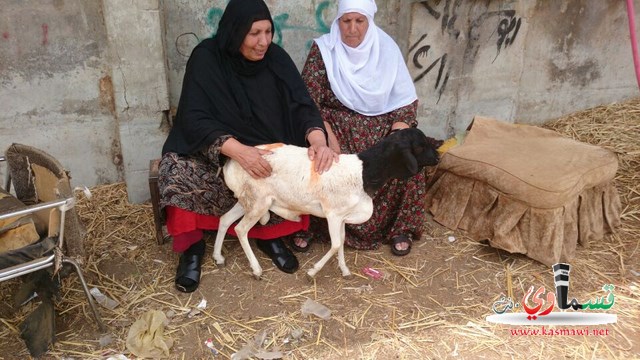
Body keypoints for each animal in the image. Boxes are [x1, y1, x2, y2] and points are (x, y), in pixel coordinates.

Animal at [212, 128, 438, 280]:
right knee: (241, 229)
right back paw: (256, 269)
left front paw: (345, 270)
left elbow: (343, 241)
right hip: (258, 202)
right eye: (420, 146)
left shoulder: (343, 217)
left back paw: (218, 257)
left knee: (224, 220)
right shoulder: (333, 214)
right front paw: (312, 271)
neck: (363, 172)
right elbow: (336, 243)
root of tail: (231, 163)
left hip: (247, 200)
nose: (437, 157)